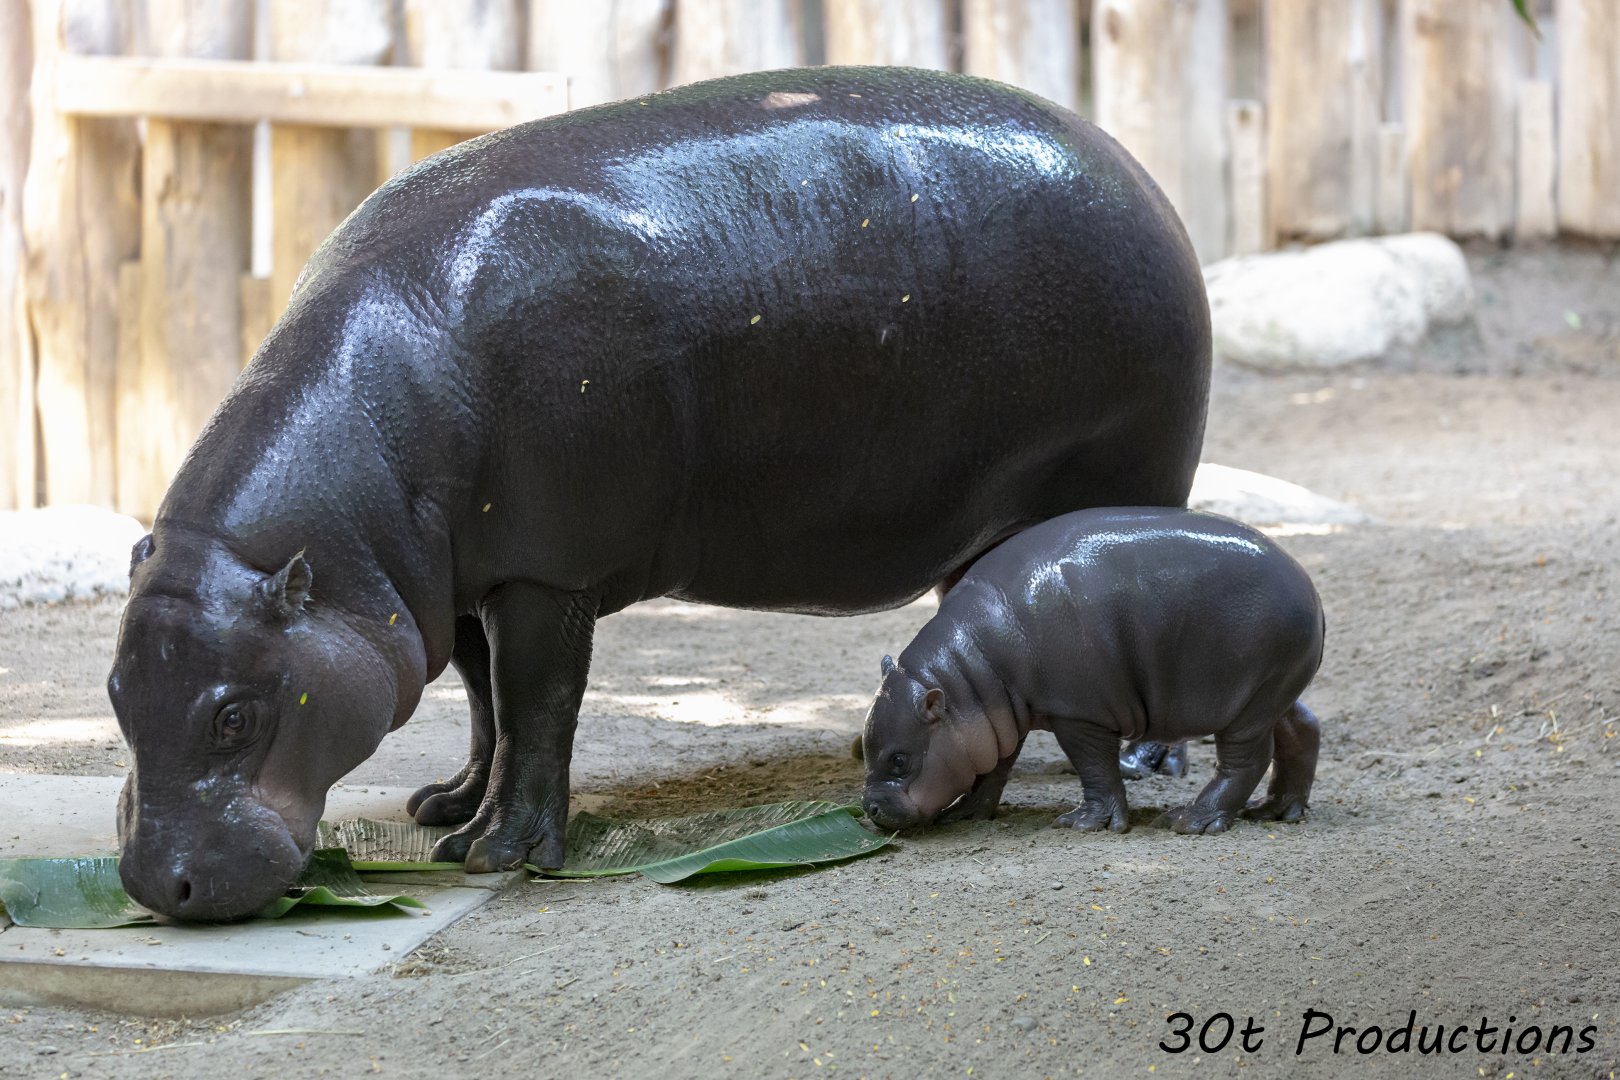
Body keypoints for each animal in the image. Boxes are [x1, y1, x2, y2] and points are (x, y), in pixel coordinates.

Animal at [108, 66, 1211, 920]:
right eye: (115, 691)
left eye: (235, 716)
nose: (158, 886)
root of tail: (1141, 175)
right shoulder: (444, 586)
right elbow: (484, 704)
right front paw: (447, 809)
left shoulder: (547, 573)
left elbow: (537, 707)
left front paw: (499, 853)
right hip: (986, 524)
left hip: (1137, 476)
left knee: (1155, 583)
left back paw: (1153, 765)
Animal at [861, 508, 1323, 834]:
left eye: (899, 760)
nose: (869, 807)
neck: (967, 672)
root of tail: (1310, 587)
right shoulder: (995, 722)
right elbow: (993, 769)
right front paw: (966, 814)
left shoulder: (1078, 713)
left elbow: (1095, 767)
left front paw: (1084, 823)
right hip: (1273, 691)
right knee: (1302, 728)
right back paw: (1276, 810)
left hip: (1247, 706)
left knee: (1246, 760)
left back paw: (1190, 820)